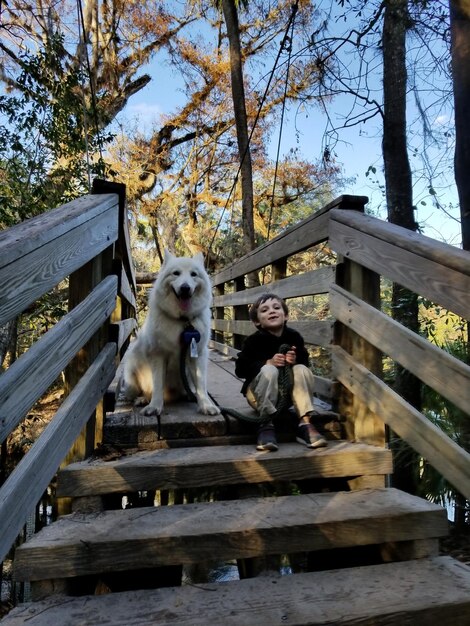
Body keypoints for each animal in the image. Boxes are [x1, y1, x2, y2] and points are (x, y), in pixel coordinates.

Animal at [124, 247, 221, 414]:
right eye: (176, 273)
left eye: (193, 274)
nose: (185, 288)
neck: (183, 320)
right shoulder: (158, 355)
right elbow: (157, 384)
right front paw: (155, 407)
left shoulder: (198, 355)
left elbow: (201, 385)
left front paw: (206, 405)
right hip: (130, 373)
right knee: (145, 392)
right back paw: (143, 399)